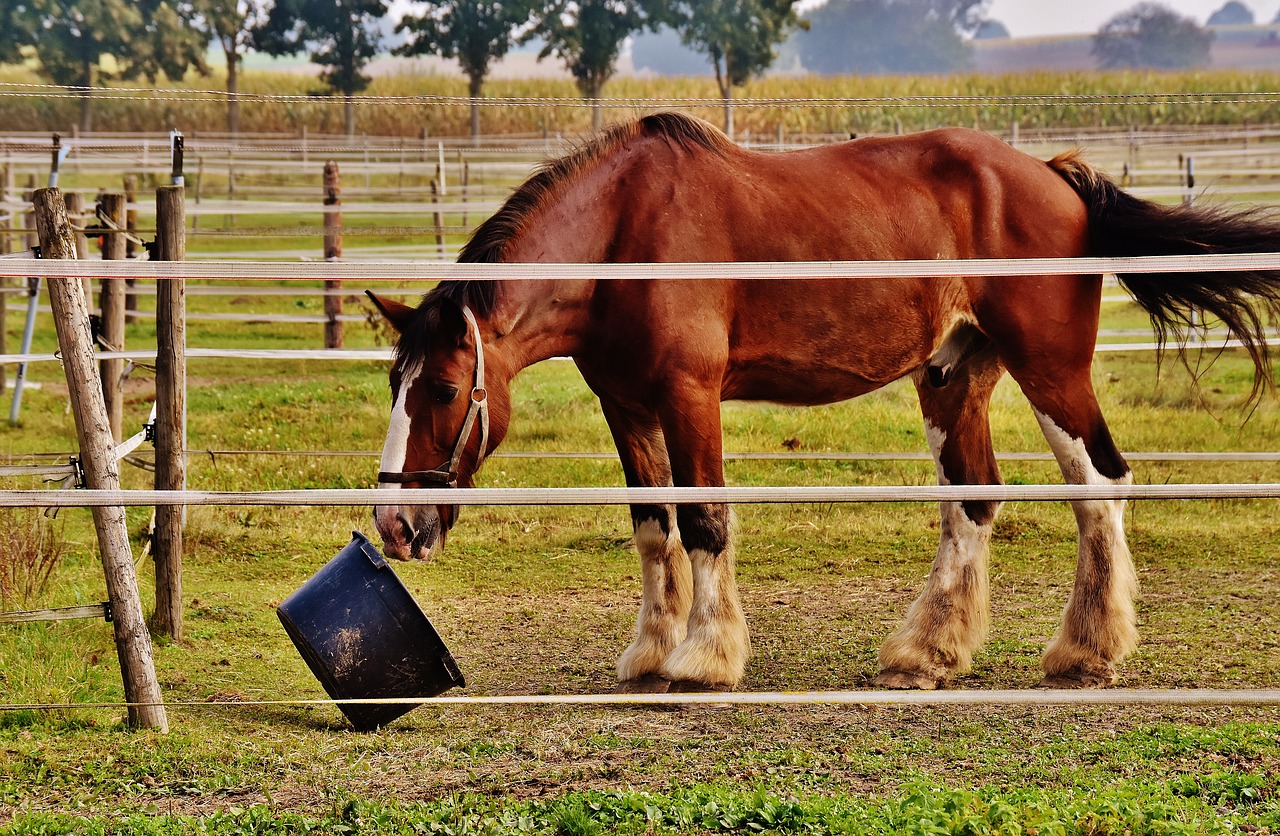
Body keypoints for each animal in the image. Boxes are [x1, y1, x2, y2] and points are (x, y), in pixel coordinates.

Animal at [366, 113, 1280, 696]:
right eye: (392, 386)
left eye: (442, 388)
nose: (395, 526)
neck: (624, 236)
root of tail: (1055, 177)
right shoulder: (626, 406)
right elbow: (653, 527)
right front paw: (650, 651)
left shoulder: (689, 396)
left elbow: (704, 520)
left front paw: (706, 658)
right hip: (954, 376)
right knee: (974, 501)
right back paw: (925, 654)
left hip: (1050, 368)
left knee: (1099, 486)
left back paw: (1085, 651)